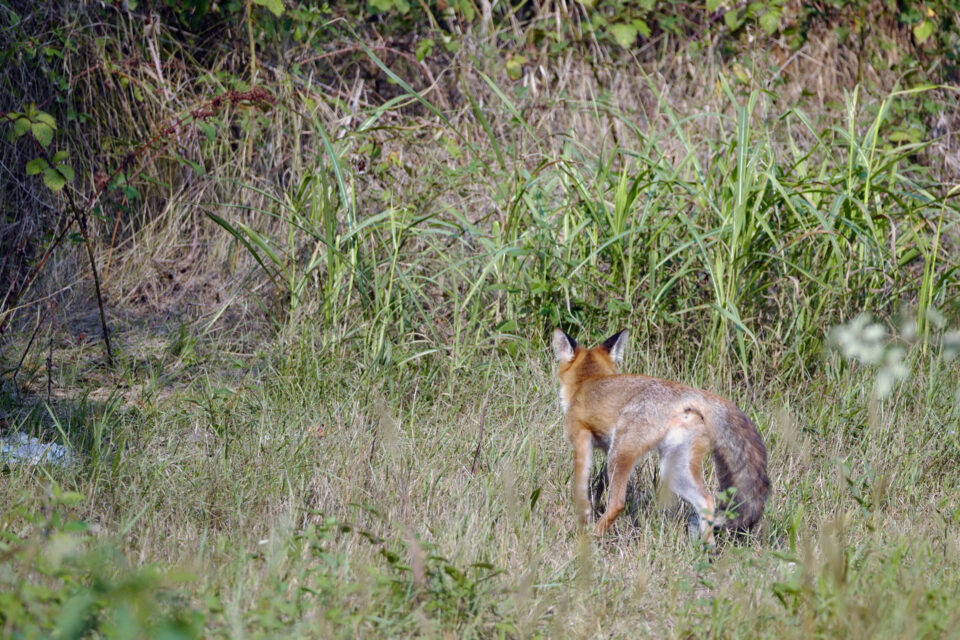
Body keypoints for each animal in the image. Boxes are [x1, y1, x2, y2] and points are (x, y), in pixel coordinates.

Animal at [551, 328, 769, 542]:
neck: (587, 382)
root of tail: (686, 391)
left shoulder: (582, 438)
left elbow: (581, 488)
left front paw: (583, 520)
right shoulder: (607, 447)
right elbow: (598, 486)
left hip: (622, 453)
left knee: (618, 503)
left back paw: (595, 536)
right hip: (672, 468)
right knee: (706, 501)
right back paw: (705, 549)